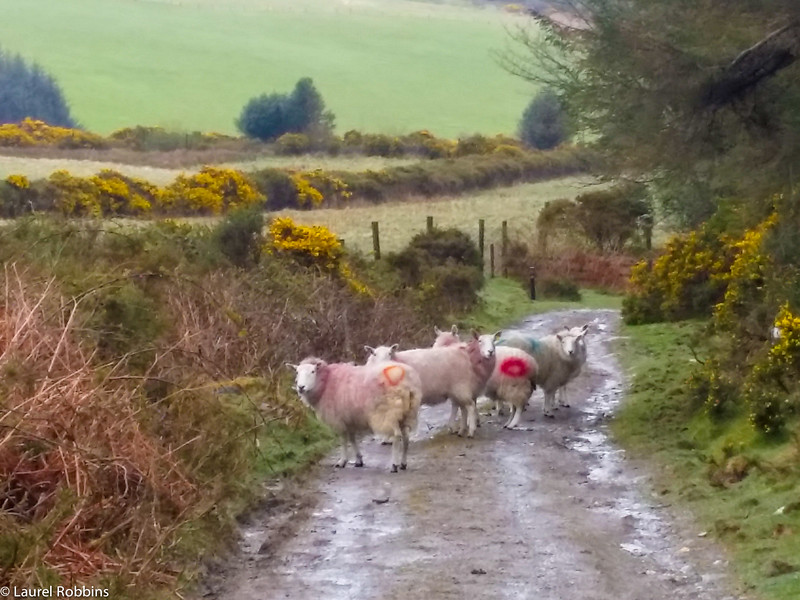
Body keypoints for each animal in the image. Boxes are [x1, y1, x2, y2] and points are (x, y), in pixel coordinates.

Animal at [290, 356, 422, 474]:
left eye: (313, 371)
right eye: (297, 372)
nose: (300, 387)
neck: (326, 382)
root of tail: (407, 384)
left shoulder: (339, 419)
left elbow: (343, 440)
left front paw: (342, 461)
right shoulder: (349, 419)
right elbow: (352, 439)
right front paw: (358, 460)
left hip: (389, 413)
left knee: (396, 436)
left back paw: (394, 465)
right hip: (408, 413)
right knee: (406, 438)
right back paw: (403, 463)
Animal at [364, 330, 494, 438]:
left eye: (390, 353)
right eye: (374, 354)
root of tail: (462, 348)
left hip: (461, 386)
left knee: (469, 406)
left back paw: (470, 429)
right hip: (456, 388)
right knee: (461, 406)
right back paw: (458, 428)